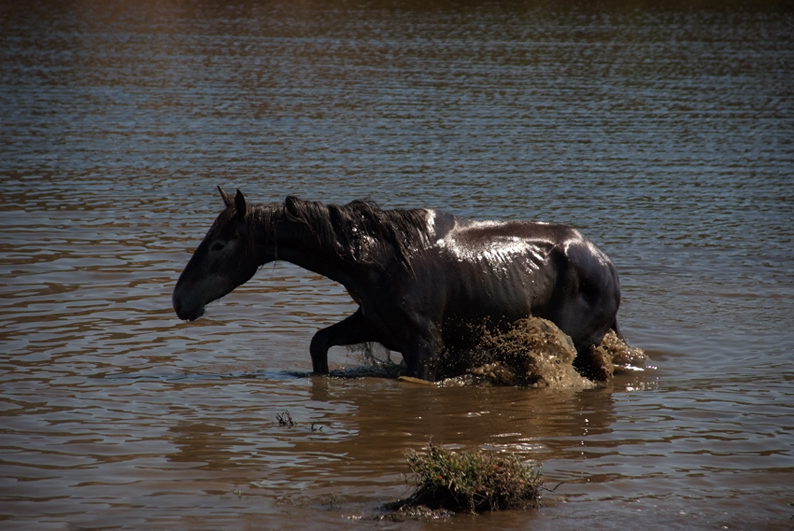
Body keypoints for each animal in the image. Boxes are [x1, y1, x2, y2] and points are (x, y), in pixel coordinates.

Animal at [172, 187, 620, 382]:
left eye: (219, 244)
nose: (180, 299)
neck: (373, 260)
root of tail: (607, 267)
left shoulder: (426, 345)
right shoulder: (376, 323)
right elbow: (319, 343)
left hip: (583, 341)